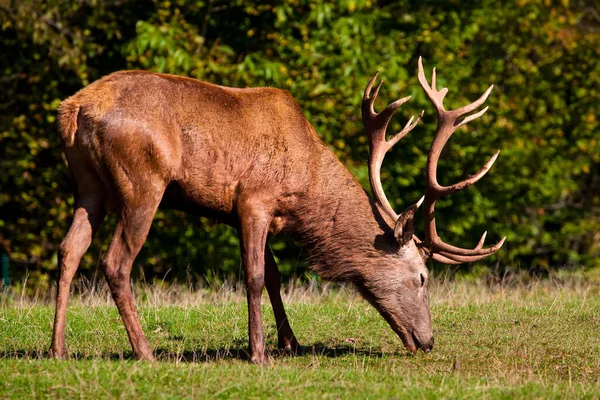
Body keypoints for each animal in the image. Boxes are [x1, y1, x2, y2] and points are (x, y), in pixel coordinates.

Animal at [51, 57, 504, 364]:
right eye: (423, 276)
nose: (428, 341)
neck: (307, 189)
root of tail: (73, 110)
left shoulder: (249, 215)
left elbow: (273, 275)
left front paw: (291, 342)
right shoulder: (254, 199)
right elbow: (253, 276)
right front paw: (259, 353)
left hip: (88, 186)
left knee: (69, 249)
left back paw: (58, 349)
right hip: (143, 182)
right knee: (115, 263)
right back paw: (144, 352)